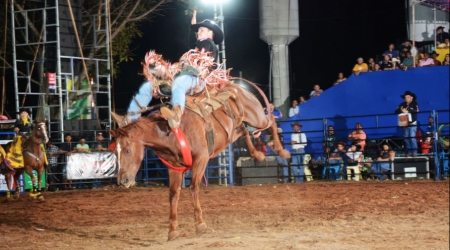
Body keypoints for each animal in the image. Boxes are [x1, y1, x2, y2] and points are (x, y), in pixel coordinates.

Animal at [110, 80, 290, 240]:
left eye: (127, 150)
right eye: (115, 153)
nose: (122, 181)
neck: (170, 132)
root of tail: (234, 86)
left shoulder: (201, 159)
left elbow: (193, 188)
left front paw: (200, 224)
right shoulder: (174, 168)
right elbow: (173, 194)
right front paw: (172, 230)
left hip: (256, 116)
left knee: (271, 122)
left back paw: (282, 150)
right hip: (235, 128)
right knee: (244, 131)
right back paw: (257, 155)